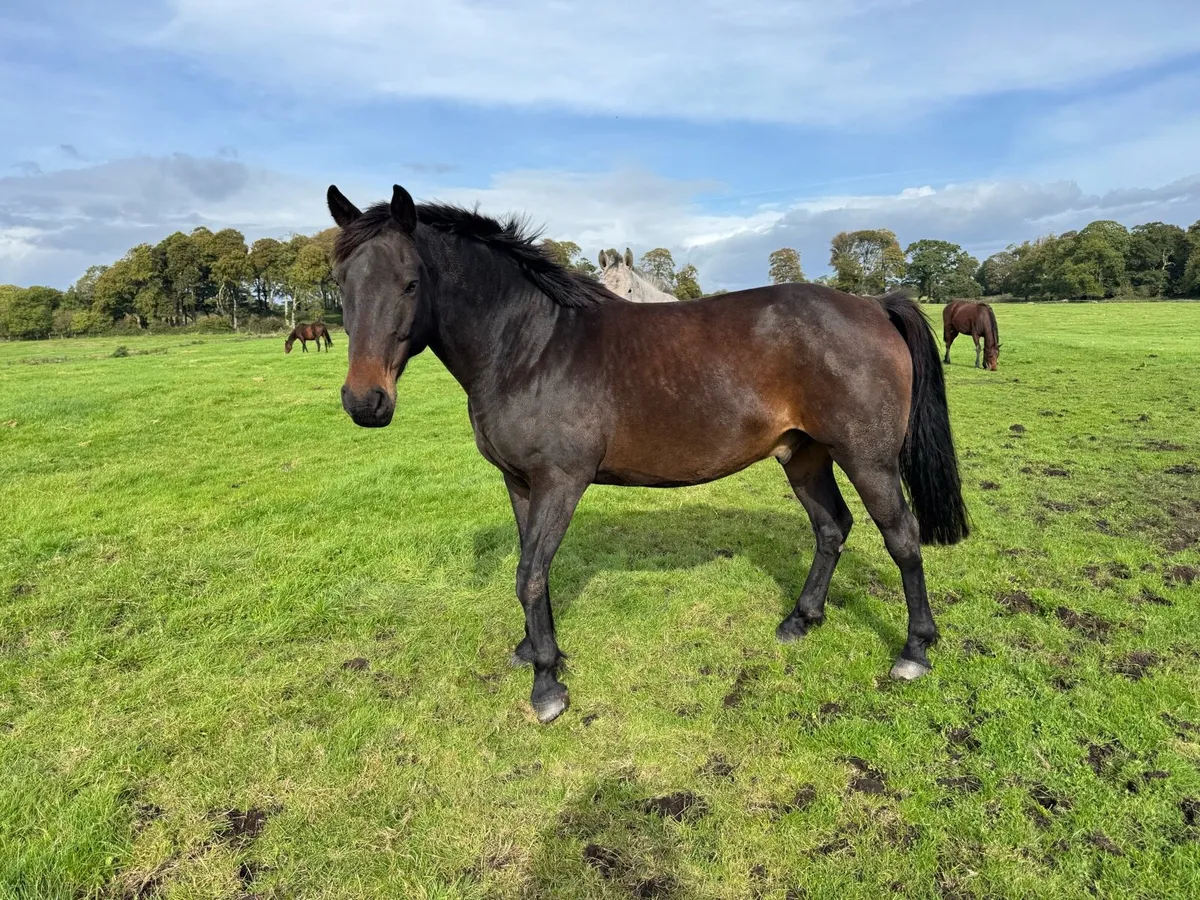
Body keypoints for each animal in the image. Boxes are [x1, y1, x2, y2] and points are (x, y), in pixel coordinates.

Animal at [327, 183, 970, 724]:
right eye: (342, 284)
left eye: (410, 283)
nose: (365, 401)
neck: (531, 347)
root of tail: (874, 305)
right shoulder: (520, 483)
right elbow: (530, 570)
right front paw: (537, 650)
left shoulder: (560, 482)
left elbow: (530, 574)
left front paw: (547, 686)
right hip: (804, 455)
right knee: (832, 527)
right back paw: (800, 619)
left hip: (867, 459)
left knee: (902, 538)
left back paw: (914, 650)